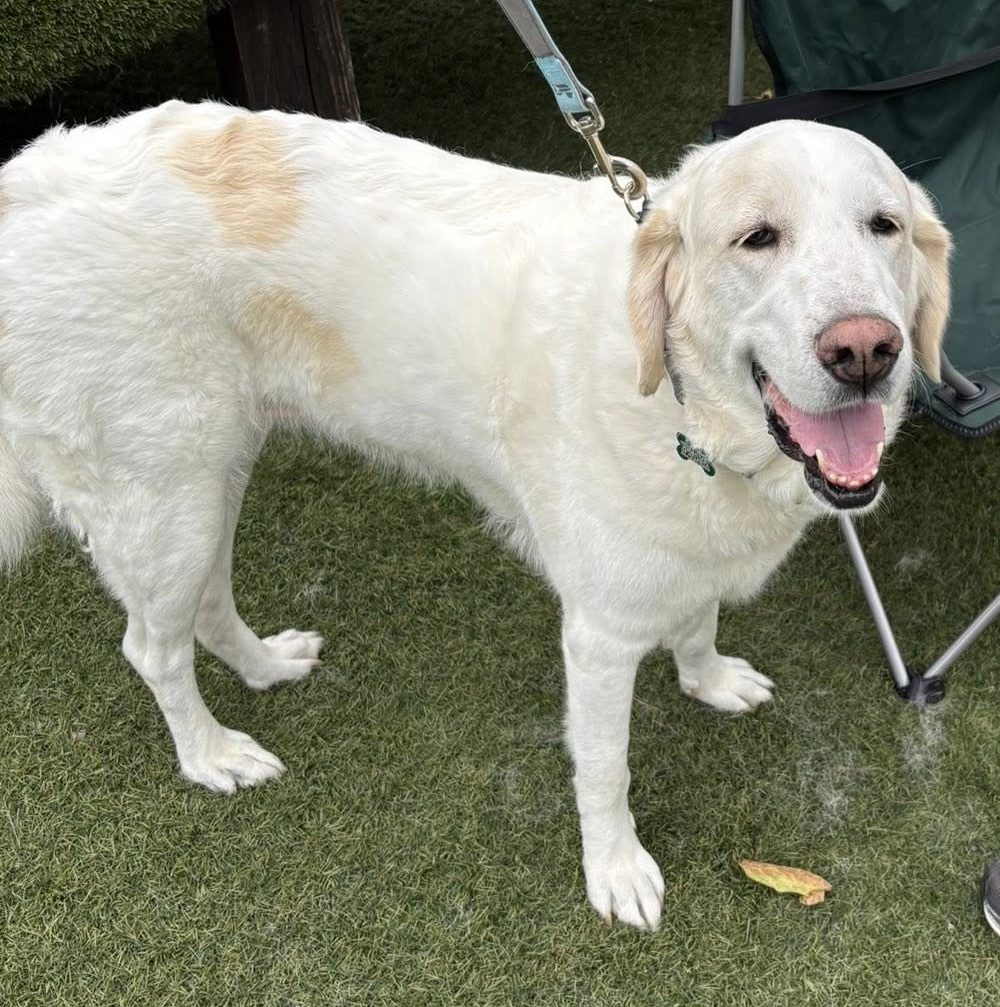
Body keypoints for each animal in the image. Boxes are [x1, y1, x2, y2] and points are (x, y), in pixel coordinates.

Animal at [0, 101, 950, 929]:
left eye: (884, 226)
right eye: (758, 237)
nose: (866, 350)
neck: (687, 403)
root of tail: (23, 179)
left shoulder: (685, 557)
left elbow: (698, 618)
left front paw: (708, 678)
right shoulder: (599, 635)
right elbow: (605, 770)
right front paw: (616, 873)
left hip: (211, 471)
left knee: (204, 603)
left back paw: (266, 666)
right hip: (166, 489)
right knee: (150, 646)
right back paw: (211, 754)